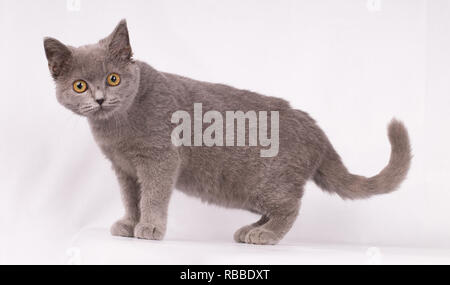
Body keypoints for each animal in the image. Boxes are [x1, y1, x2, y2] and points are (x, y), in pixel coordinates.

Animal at [44, 19, 412, 244]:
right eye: (79, 85)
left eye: (114, 78)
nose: (100, 98)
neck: (117, 129)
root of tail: (316, 130)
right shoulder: (123, 168)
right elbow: (130, 197)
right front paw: (130, 223)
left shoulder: (159, 160)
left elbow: (153, 195)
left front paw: (149, 227)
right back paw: (250, 230)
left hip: (266, 182)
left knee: (290, 206)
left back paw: (266, 235)